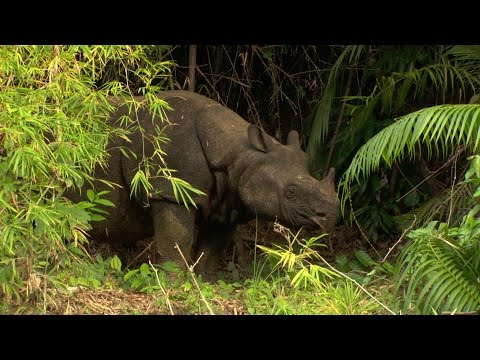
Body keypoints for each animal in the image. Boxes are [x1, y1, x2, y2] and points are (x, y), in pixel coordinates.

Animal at [73, 90, 340, 272]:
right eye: (291, 191)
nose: (330, 216)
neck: (239, 152)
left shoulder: (228, 202)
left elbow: (211, 249)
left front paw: (207, 281)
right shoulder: (171, 191)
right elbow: (175, 243)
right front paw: (173, 282)